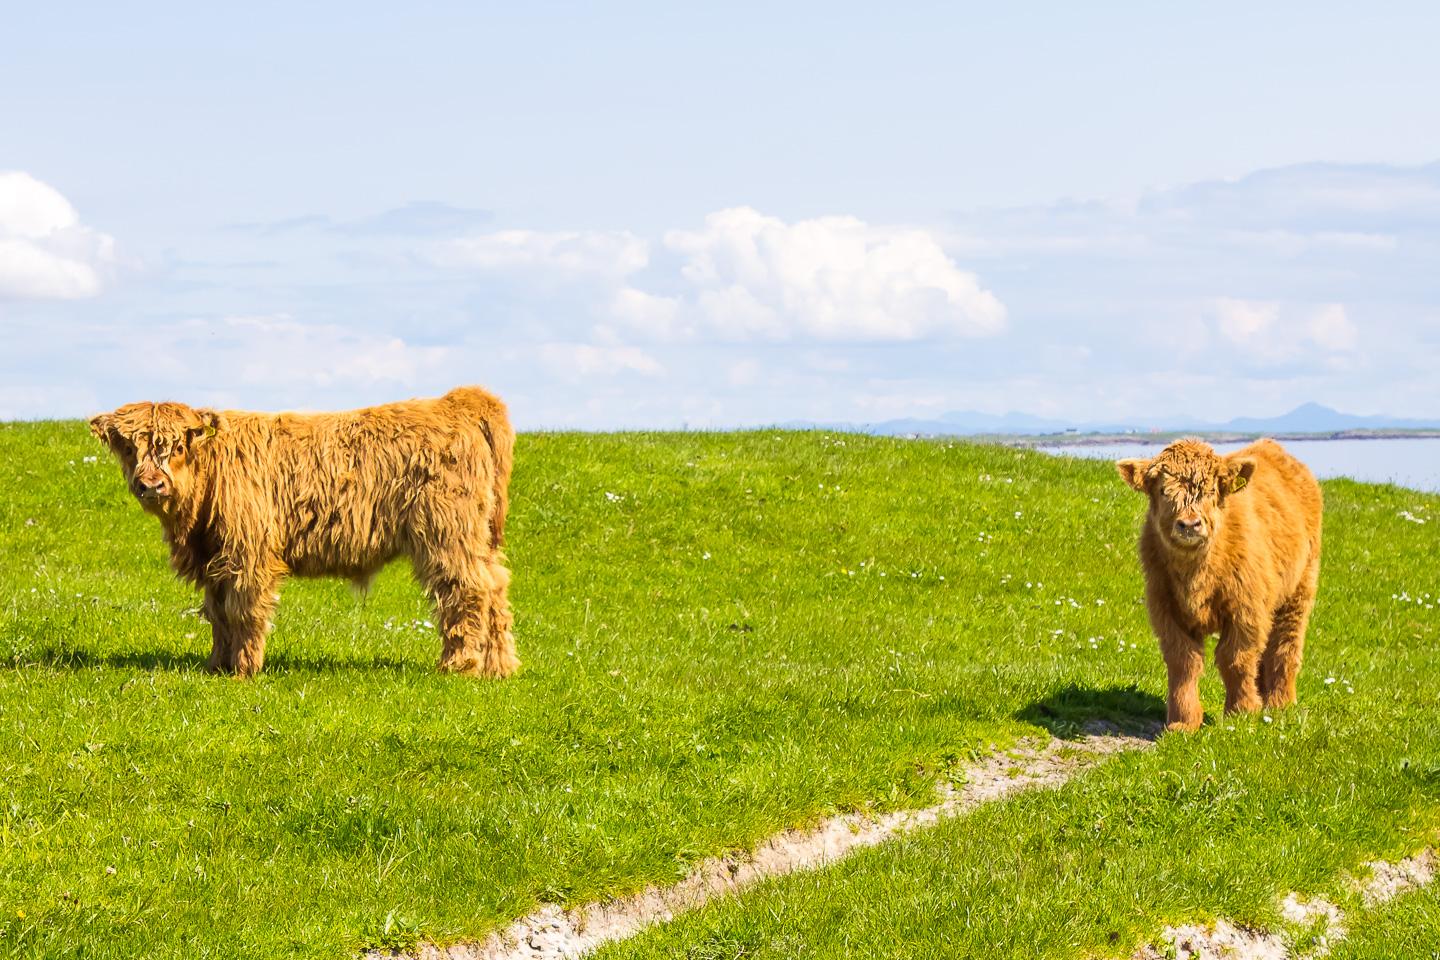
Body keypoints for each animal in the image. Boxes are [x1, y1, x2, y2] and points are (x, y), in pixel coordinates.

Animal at [90, 385, 518, 679]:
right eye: (129, 448)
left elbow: (243, 610)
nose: (150, 485)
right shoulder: (215, 558)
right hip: (478, 537)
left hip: (448, 533)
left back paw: (458, 665)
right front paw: (216, 666)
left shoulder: (249, 553)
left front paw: (244, 670)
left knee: (466, 590)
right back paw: (499, 667)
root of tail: (455, 401)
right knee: (496, 587)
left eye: (177, 446)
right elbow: (218, 613)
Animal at [1111, 440, 1324, 731]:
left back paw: (1280, 704)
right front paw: (1183, 721)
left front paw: (1241, 713)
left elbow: (1235, 659)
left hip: (1299, 590)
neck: (1197, 575)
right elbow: (1184, 662)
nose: (1190, 524)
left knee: (1284, 645)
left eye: (1211, 490)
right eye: (1164, 491)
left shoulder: (1246, 611)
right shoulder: (1166, 610)